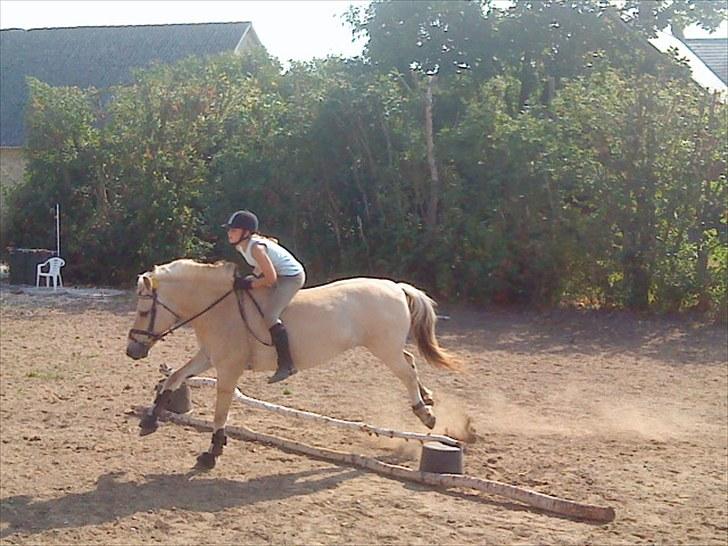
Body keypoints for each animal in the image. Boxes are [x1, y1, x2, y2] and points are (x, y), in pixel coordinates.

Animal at [125, 258, 456, 466]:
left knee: (406, 372)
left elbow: (221, 411)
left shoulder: (228, 368)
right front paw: (150, 419)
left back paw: (426, 414)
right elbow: (174, 378)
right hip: (389, 346)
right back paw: (428, 398)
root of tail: (396, 286)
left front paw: (212, 454)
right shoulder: (209, 357)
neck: (219, 307)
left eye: (143, 312)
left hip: (383, 347)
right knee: (410, 362)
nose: (132, 351)